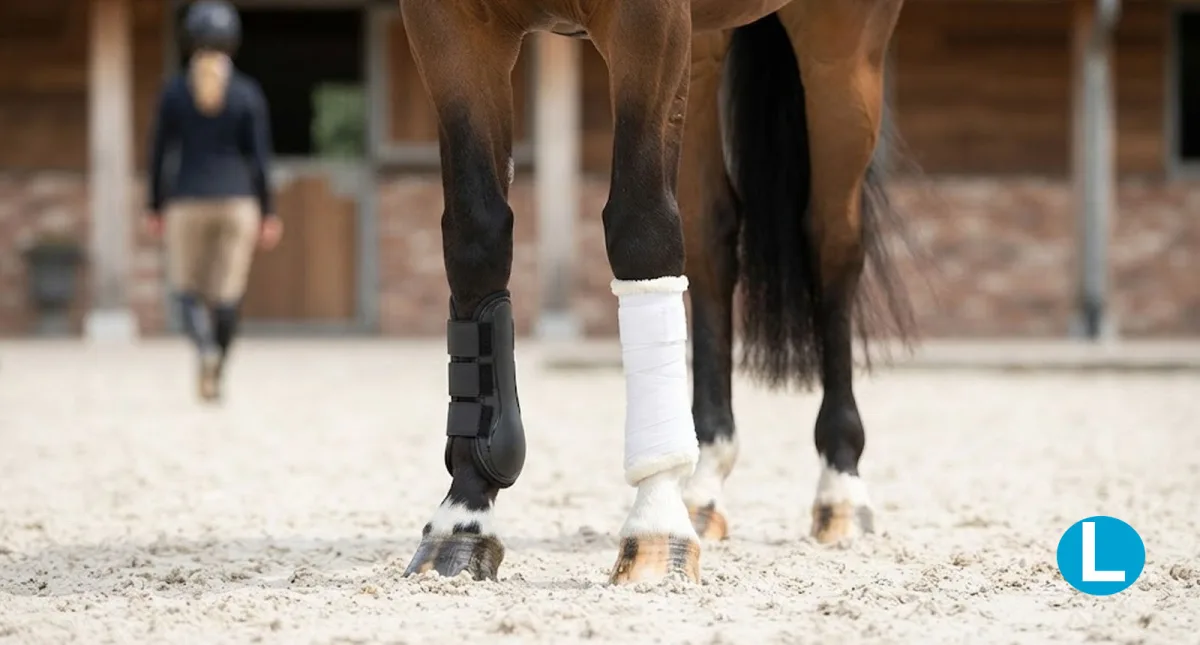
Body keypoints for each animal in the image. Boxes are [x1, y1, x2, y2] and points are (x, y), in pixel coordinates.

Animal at [397, 0, 916, 585]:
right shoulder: (447, 28)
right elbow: (475, 241)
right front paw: (463, 521)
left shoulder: (648, 23)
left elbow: (641, 230)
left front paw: (655, 529)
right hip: (705, 53)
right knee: (712, 239)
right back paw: (704, 485)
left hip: (843, 48)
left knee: (832, 245)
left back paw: (841, 491)